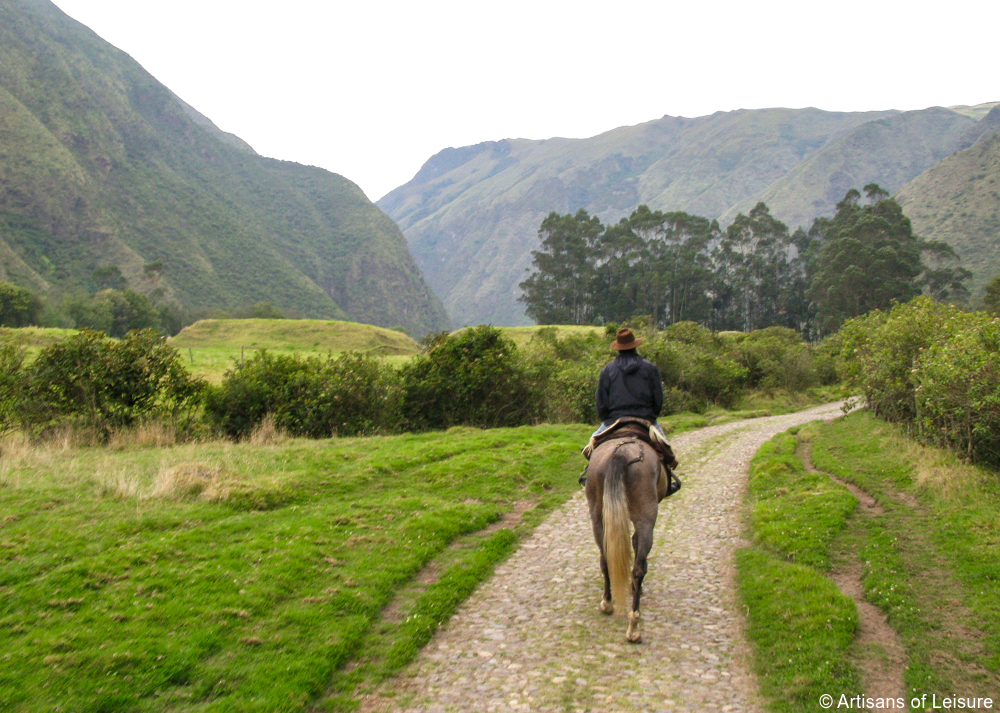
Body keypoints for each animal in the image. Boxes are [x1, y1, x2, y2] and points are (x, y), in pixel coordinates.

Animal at [584, 436, 672, 644]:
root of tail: (622, 453)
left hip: (598, 515)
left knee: (606, 559)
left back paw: (609, 604)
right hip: (646, 517)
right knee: (639, 568)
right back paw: (633, 625)